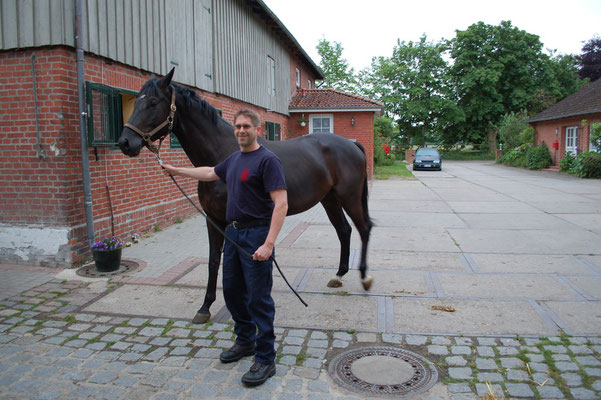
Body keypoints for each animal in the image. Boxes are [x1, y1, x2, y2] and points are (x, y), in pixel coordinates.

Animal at [117, 69, 370, 324]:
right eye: (136, 101)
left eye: (152, 102)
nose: (125, 142)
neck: (222, 156)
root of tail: (352, 145)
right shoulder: (212, 219)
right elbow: (213, 261)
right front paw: (205, 307)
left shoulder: (233, 222)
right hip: (329, 199)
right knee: (344, 230)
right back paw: (338, 276)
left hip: (349, 197)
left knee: (363, 228)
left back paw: (365, 278)